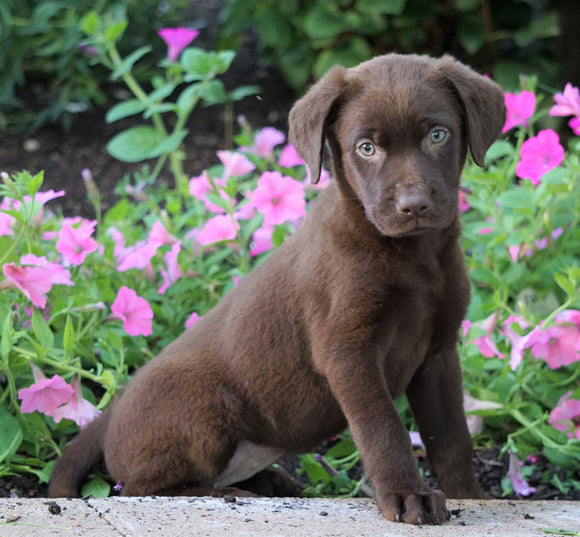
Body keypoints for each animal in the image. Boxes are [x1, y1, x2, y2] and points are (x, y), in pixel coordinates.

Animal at [47, 54, 506, 524]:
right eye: (366, 148)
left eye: (438, 135)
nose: (413, 206)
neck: (415, 256)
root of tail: (111, 412)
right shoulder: (347, 351)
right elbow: (383, 428)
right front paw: (406, 494)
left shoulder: (438, 351)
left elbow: (451, 439)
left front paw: (472, 496)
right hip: (206, 404)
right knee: (140, 488)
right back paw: (229, 494)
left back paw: (266, 482)